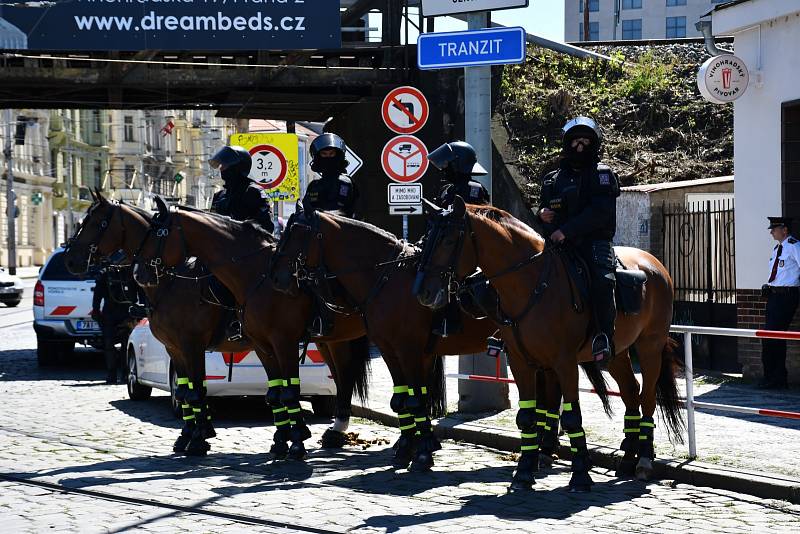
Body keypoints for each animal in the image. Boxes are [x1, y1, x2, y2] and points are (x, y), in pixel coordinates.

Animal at [62, 194, 372, 460]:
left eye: (97, 223)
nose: (71, 259)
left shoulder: (203, 344)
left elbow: (202, 391)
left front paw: (200, 439)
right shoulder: (179, 348)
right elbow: (189, 391)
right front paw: (191, 436)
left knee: (343, 378)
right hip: (329, 339)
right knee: (342, 379)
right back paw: (335, 432)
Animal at [416, 198, 684, 494]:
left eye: (449, 239)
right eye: (427, 238)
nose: (423, 292)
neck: (532, 283)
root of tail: (655, 264)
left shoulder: (564, 363)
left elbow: (571, 417)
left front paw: (580, 474)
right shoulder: (522, 363)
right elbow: (527, 416)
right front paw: (524, 471)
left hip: (650, 346)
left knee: (647, 396)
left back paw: (644, 460)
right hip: (616, 352)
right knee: (630, 392)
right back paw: (627, 459)